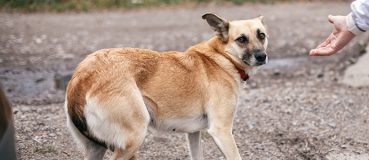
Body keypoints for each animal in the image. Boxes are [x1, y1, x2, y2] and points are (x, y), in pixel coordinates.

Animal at [64, 12, 268, 160]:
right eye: (241, 39)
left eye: (262, 35)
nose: (262, 56)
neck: (223, 58)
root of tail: (81, 77)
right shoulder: (221, 131)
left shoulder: (194, 133)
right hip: (134, 137)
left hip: (96, 148)